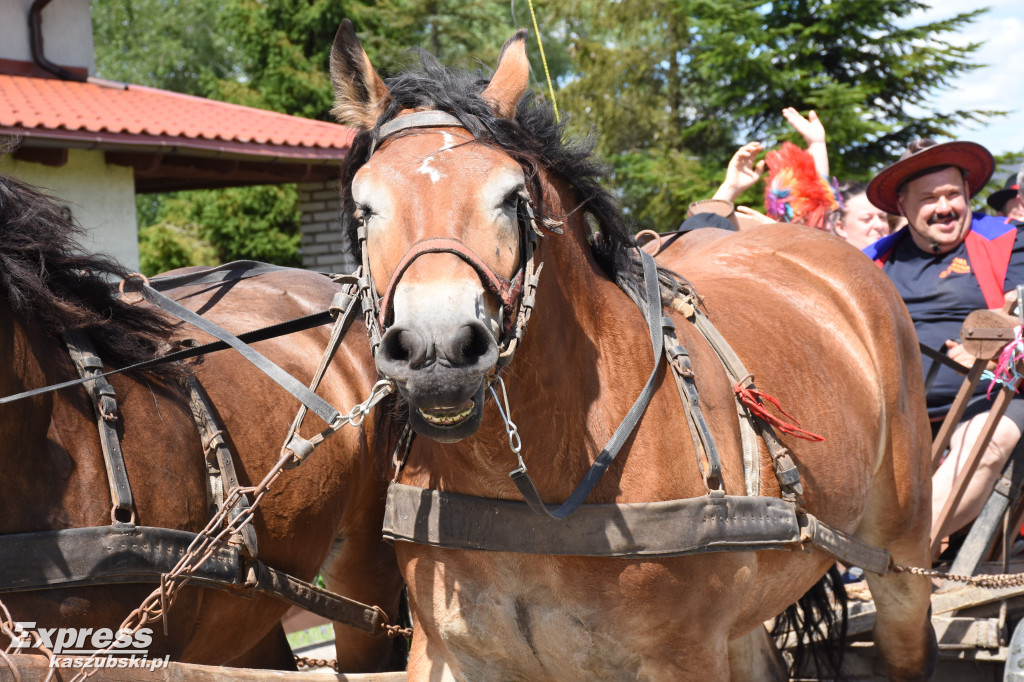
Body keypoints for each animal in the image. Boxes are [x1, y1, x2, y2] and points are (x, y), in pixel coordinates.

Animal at [331, 21, 937, 679]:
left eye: (512, 198)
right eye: (365, 207)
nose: (438, 350)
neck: (529, 497)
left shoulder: (684, 656)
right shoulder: (443, 650)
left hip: (903, 552)